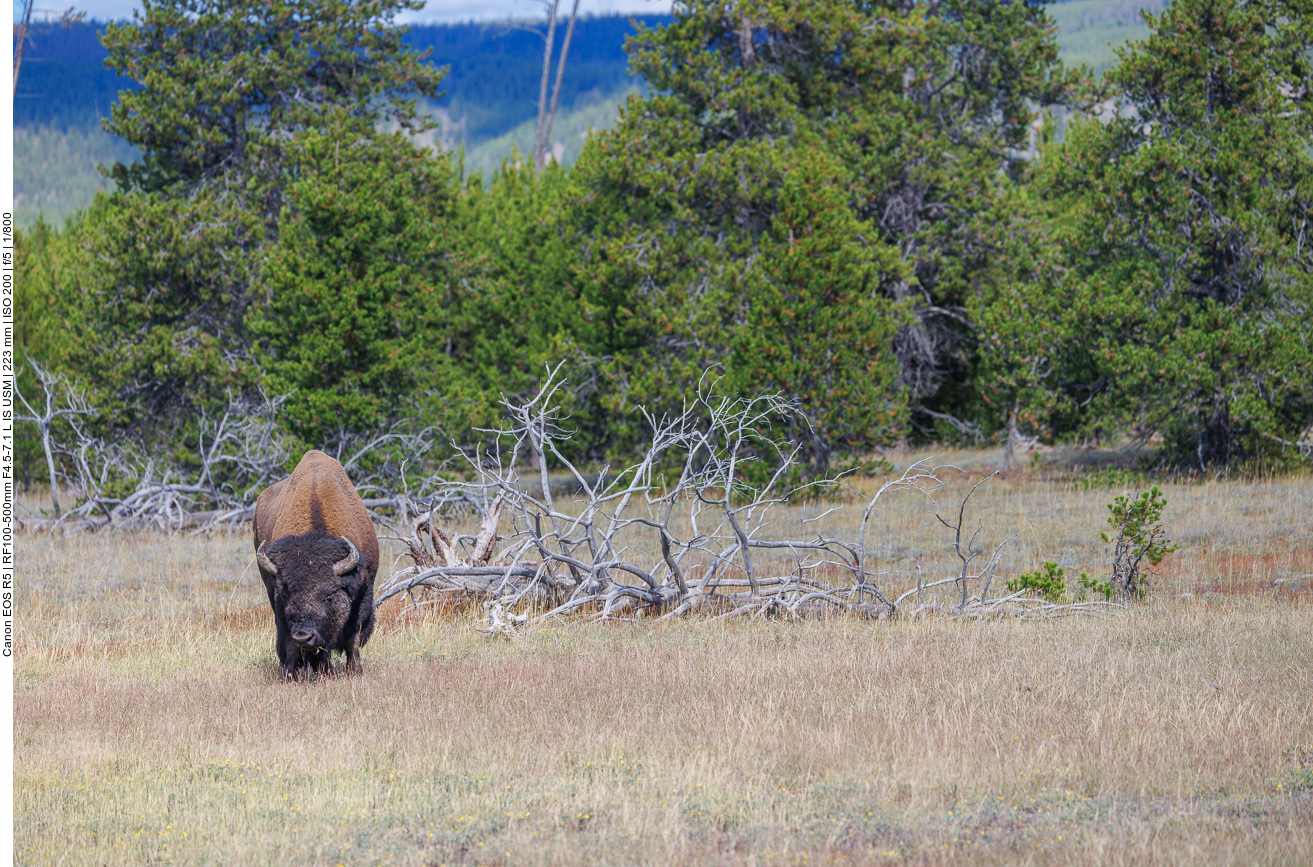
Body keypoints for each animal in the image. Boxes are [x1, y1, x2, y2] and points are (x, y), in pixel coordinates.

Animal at [250, 449, 378, 683]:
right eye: (286, 593)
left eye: (329, 594)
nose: (304, 636)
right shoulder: (278, 602)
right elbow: (288, 640)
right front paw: (290, 674)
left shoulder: (364, 592)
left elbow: (353, 637)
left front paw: (355, 671)